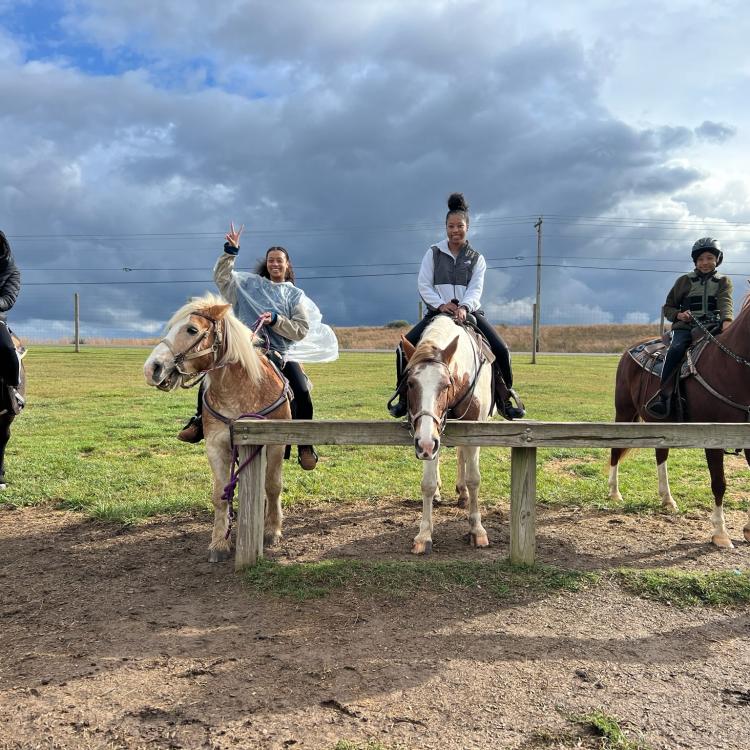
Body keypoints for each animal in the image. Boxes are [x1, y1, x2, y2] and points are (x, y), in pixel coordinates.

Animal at [143, 294, 290, 564]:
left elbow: (273, 486)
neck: (242, 390)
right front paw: (220, 542)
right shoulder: (217, 445)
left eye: (192, 329)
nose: (152, 369)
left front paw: (272, 531)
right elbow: (220, 494)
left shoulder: (274, 443)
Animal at [402, 314, 496, 556]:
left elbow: (474, 479)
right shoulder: (427, 438)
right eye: (410, 383)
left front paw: (477, 530)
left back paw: (462, 494)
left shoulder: (474, 431)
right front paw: (424, 535)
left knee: (462, 455)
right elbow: (428, 483)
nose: (426, 444)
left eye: (445, 384)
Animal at [612, 296, 750, 548]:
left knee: (661, 455)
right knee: (616, 450)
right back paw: (614, 493)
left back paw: (667, 499)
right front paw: (720, 533)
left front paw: (748, 529)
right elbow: (719, 483)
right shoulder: (713, 438)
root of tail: (630, 350)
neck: (731, 368)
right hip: (624, 412)